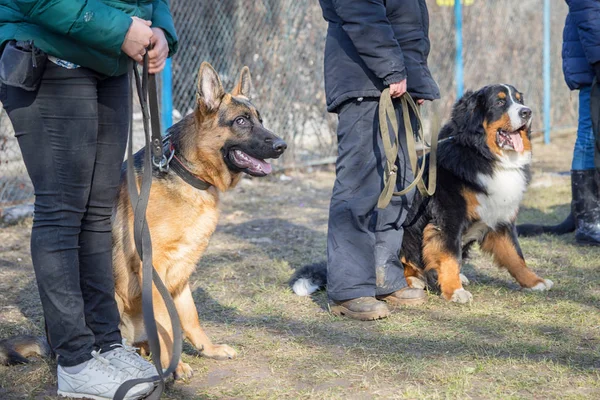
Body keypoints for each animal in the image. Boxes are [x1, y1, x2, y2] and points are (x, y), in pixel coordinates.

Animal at [290, 83, 552, 304]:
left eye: (519, 99)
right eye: (499, 102)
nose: (527, 112)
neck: (481, 154)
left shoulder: (500, 219)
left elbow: (515, 255)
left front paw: (534, 282)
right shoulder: (448, 219)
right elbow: (450, 256)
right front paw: (454, 291)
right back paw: (413, 281)